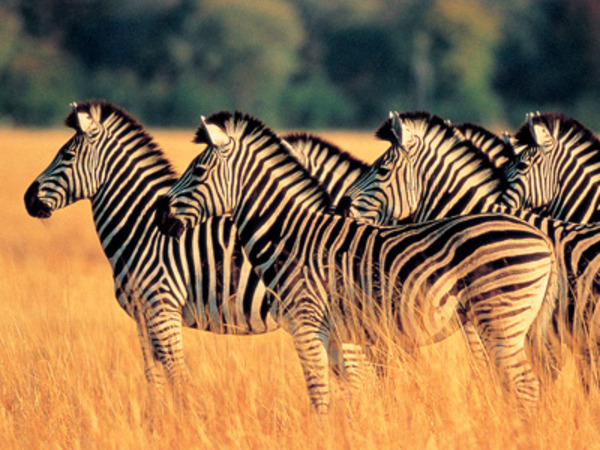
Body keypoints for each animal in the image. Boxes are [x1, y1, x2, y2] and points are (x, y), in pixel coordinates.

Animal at [22, 101, 370, 398]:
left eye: (66, 156)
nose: (27, 199)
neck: (140, 230)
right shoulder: (142, 317)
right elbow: (154, 379)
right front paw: (155, 422)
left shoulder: (163, 308)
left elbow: (178, 378)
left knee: (358, 379)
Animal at [156, 110, 556, 414]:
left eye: (199, 172)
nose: (160, 216)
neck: (290, 236)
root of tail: (544, 241)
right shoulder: (334, 334)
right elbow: (348, 392)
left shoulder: (307, 324)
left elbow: (319, 394)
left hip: (501, 320)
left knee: (526, 385)